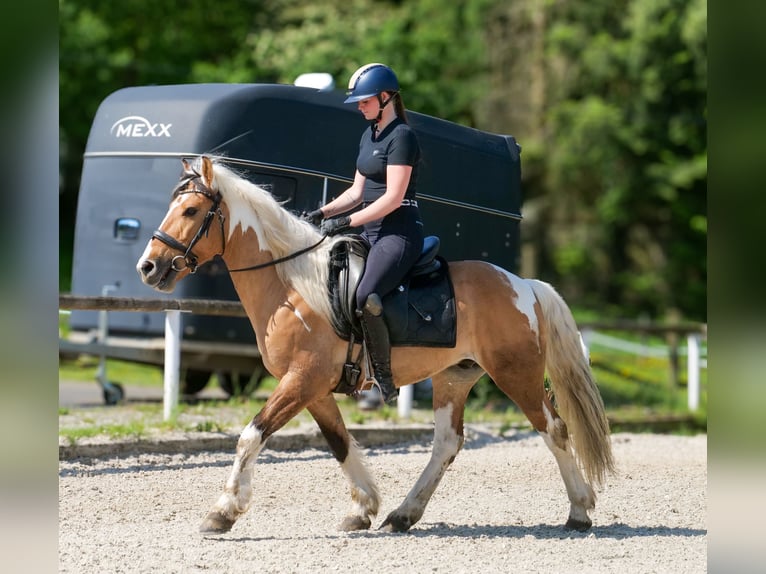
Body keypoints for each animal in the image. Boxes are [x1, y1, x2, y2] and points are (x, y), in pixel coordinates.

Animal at [136, 155, 615, 534]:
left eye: (192, 209)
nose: (148, 267)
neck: (292, 287)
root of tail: (524, 284)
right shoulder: (312, 388)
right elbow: (339, 442)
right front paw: (363, 508)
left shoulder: (302, 380)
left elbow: (251, 436)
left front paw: (222, 512)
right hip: (454, 378)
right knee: (447, 443)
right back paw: (403, 515)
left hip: (517, 375)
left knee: (554, 429)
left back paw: (579, 511)